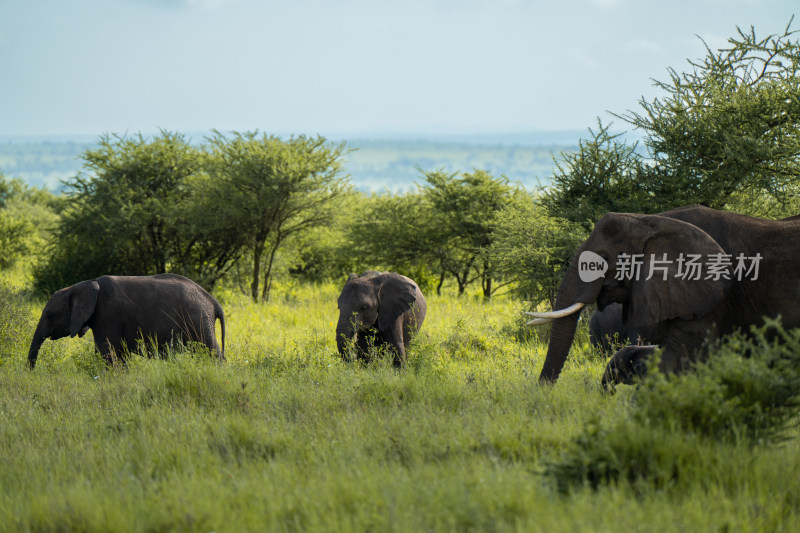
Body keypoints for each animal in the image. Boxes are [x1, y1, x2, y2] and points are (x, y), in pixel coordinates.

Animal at [28, 272, 227, 368]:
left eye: (50, 315)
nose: (32, 372)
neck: (84, 285)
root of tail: (213, 301)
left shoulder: (108, 314)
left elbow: (107, 351)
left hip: (198, 319)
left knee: (211, 352)